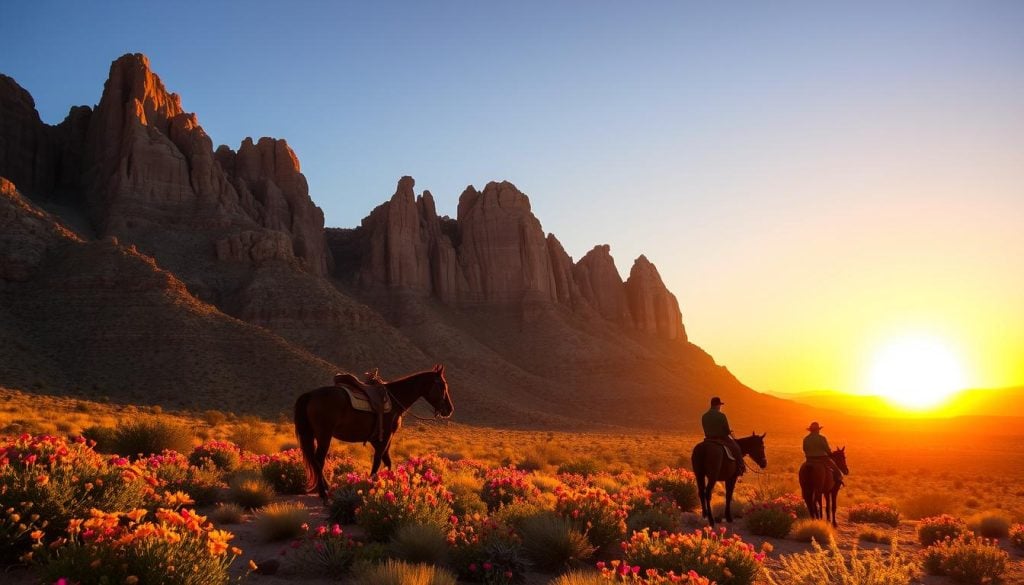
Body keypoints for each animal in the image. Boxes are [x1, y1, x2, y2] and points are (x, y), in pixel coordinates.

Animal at [296, 366, 456, 499]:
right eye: (441, 385)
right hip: (324, 435)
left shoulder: (381, 439)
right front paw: (372, 486)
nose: (449, 409)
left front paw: (390, 485)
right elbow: (378, 462)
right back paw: (323, 493)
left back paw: (326, 488)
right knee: (319, 460)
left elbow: (387, 462)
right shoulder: (385, 437)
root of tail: (310, 395)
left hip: (313, 434)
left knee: (315, 460)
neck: (395, 400)